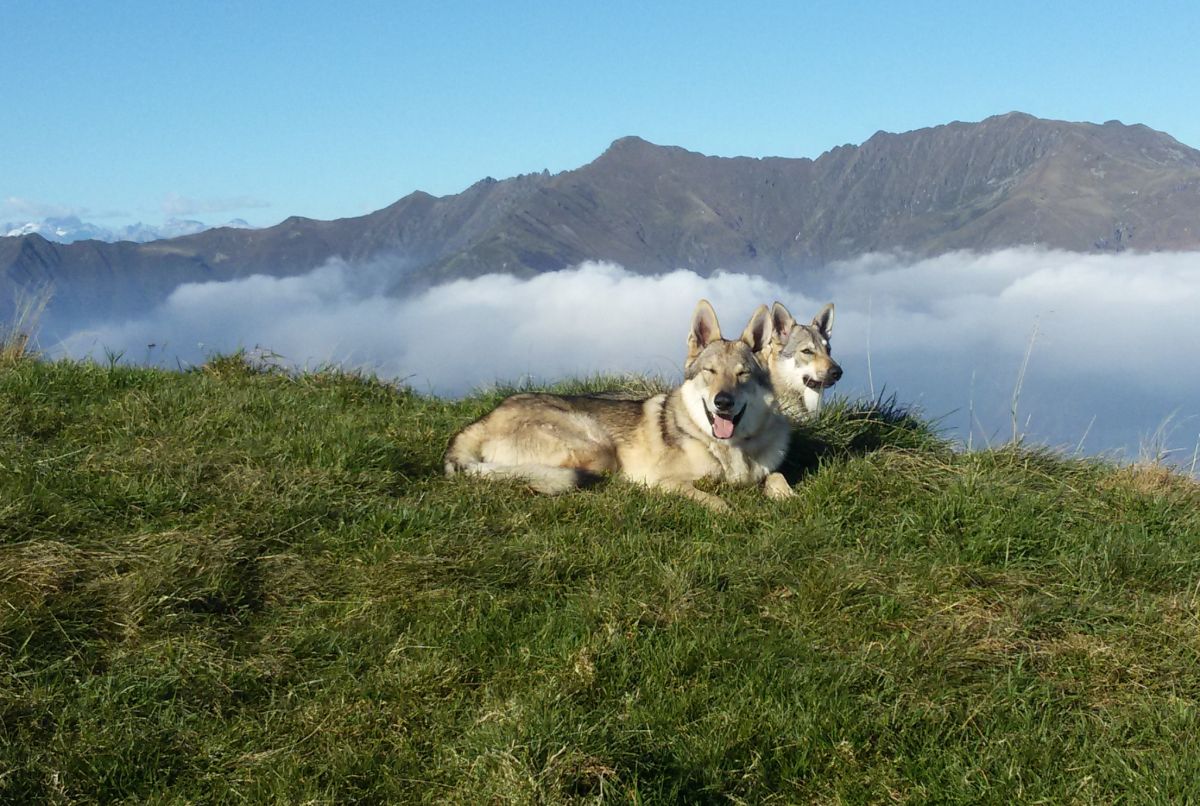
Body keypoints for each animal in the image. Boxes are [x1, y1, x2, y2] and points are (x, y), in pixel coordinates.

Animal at [446, 298, 792, 513]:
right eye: (710, 372)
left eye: (742, 374)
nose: (723, 402)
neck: (730, 451)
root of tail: (481, 421)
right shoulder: (665, 482)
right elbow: (715, 501)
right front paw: (730, 509)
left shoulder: (764, 471)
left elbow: (777, 478)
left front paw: (788, 496)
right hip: (598, 451)